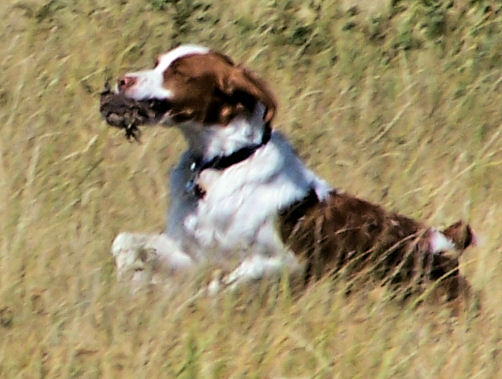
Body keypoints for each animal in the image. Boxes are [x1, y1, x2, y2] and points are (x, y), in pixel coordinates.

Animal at [108, 43, 476, 300]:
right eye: (157, 62)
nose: (122, 80)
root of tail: (444, 243)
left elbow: (223, 284)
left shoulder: (283, 261)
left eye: (180, 73)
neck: (224, 163)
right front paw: (133, 283)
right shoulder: (192, 251)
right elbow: (124, 242)